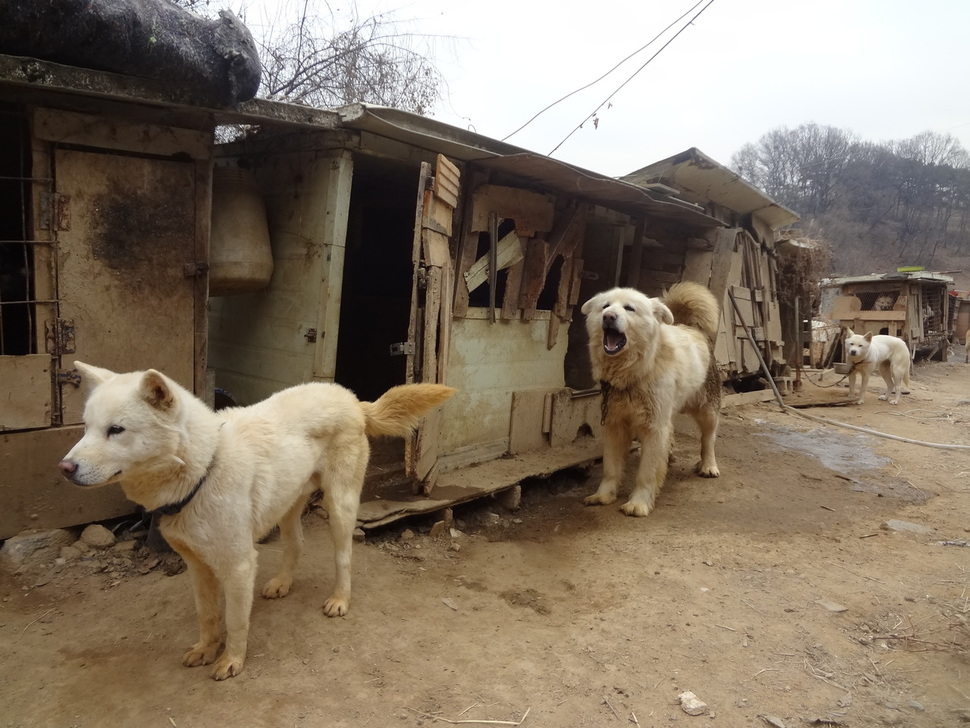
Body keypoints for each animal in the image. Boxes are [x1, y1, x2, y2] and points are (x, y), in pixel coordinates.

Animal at [60, 364, 454, 684]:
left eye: (116, 430)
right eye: (86, 428)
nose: (64, 468)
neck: (202, 470)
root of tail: (352, 399)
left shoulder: (238, 566)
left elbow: (235, 620)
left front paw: (231, 661)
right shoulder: (197, 566)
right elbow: (207, 616)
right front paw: (205, 650)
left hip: (340, 504)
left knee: (343, 556)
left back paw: (340, 599)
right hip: (288, 504)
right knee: (296, 544)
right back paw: (282, 583)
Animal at [576, 282, 720, 516]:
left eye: (629, 308)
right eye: (605, 306)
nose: (608, 316)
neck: (636, 371)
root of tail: (691, 328)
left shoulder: (654, 428)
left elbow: (646, 473)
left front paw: (639, 503)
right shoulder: (615, 425)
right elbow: (610, 468)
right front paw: (604, 495)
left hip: (707, 411)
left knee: (708, 439)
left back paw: (708, 466)